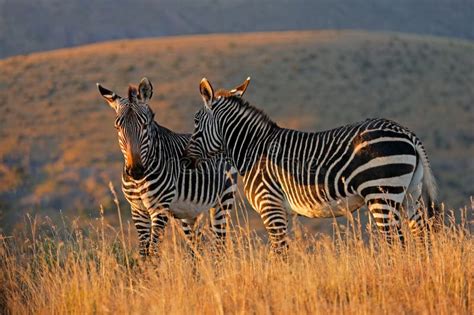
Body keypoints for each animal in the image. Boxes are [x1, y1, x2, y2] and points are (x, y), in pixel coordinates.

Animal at [96, 78, 237, 258]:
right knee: (197, 248)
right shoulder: (138, 210)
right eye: (117, 127)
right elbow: (144, 254)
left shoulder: (159, 209)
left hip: (223, 200)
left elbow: (153, 252)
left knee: (219, 244)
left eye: (145, 125)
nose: (135, 171)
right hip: (189, 213)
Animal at [185, 77, 440, 254]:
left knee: (396, 242)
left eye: (196, 122)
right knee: (421, 238)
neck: (252, 149)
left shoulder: (270, 206)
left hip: (381, 193)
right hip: (410, 194)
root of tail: (407, 133)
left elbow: (280, 254)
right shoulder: (281, 211)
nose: (186, 160)